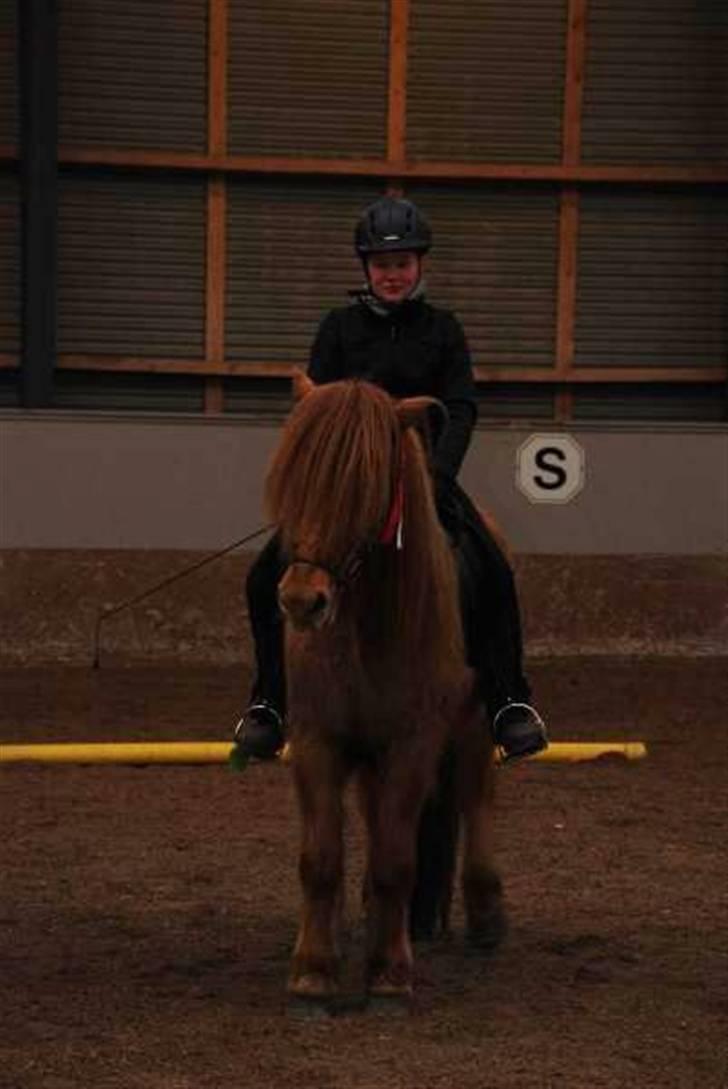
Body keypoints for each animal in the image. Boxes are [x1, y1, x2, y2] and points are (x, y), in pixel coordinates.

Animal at [266, 372, 504, 1001]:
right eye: (293, 478)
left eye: (364, 487)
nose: (302, 601)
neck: (366, 629)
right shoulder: (317, 738)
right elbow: (321, 858)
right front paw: (314, 966)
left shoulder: (413, 743)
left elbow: (397, 858)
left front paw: (392, 970)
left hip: (473, 726)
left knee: (476, 798)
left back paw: (485, 915)